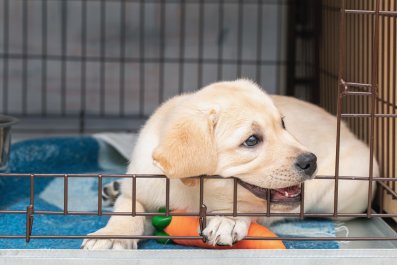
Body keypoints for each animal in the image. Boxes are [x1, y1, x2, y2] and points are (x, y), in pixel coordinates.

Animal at [81, 79, 378, 249]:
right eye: (251, 140)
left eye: (283, 125)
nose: (311, 161)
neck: (194, 193)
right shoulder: (141, 186)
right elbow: (127, 210)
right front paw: (112, 235)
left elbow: (246, 206)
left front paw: (228, 220)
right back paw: (113, 188)